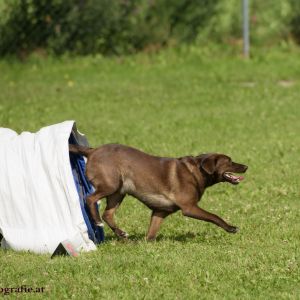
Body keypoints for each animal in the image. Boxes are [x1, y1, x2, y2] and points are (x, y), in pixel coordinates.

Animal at [69, 144, 247, 240]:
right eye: (229, 161)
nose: (246, 166)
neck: (197, 171)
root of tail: (92, 150)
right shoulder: (189, 208)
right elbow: (214, 216)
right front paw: (230, 228)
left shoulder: (160, 212)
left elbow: (150, 236)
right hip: (111, 185)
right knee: (89, 199)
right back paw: (97, 221)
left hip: (119, 192)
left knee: (108, 214)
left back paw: (122, 234)